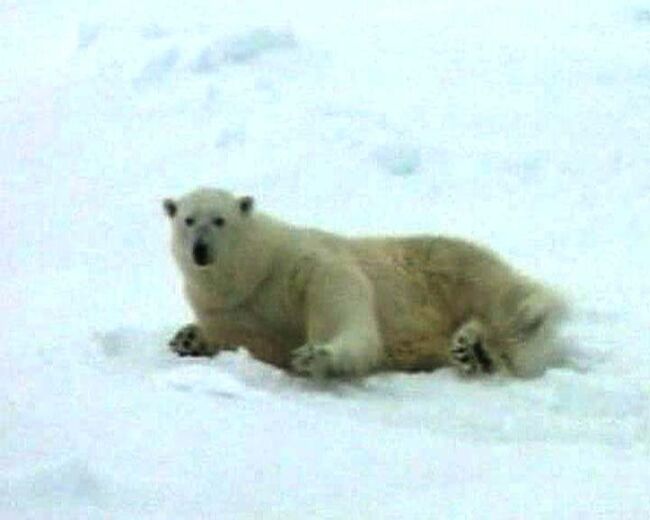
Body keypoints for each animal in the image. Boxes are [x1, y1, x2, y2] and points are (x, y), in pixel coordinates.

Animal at [165, 189, 564, 376]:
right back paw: (473, 350)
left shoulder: (302, 263)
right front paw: (187, 338)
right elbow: (254, 340)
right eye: (188, 219)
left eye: (220, 219)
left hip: (447, 267)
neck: (253, 271)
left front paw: (318, 356)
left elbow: (339, 302)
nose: (201, 250)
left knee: (511, 304)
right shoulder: (228, 308)